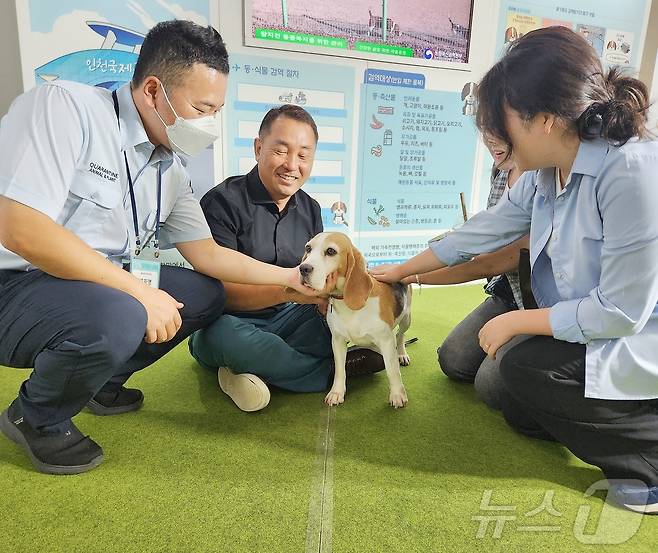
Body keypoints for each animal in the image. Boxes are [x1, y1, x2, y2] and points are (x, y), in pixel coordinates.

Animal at [298, 231, 410, 408]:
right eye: (308, 248)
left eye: (331, 251)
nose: (303, 268)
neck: (346, 303)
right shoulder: (337, 341)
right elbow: (339, 370)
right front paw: (336, 392)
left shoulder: (386, 341)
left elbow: (393, 371)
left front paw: (397, 395)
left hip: (406, 319)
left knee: (400, 335)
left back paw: (402, 354)